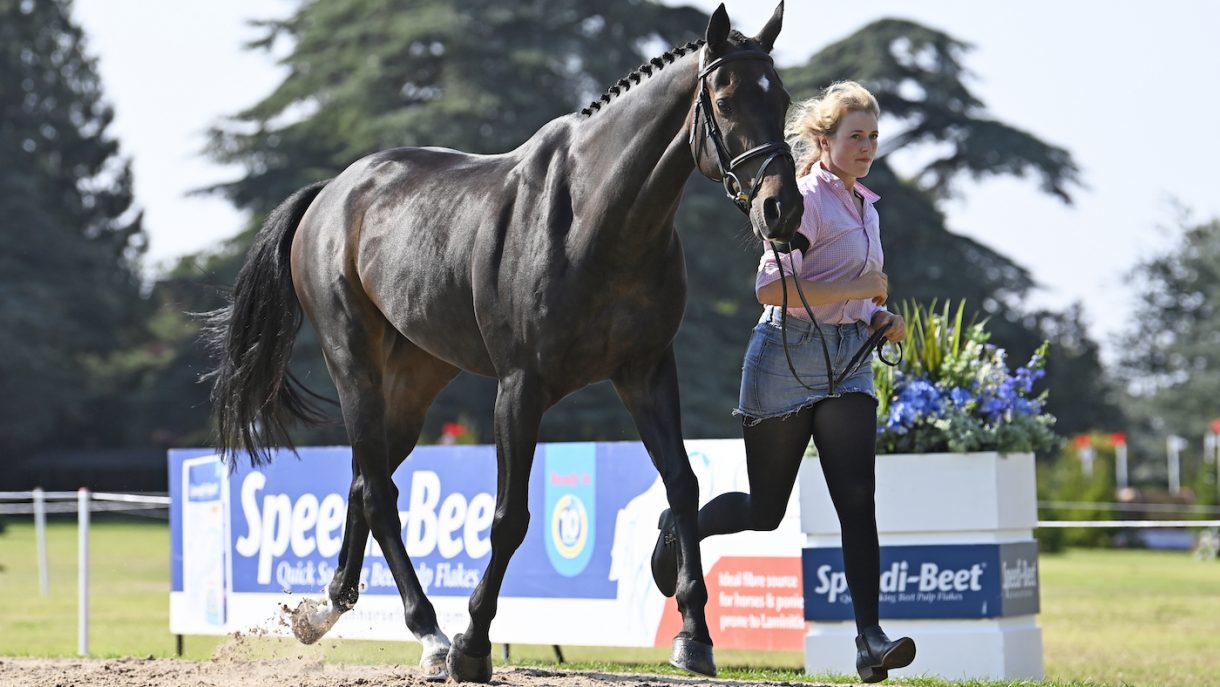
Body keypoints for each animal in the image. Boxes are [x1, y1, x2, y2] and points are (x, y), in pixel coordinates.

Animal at [204, 3, 801, 682]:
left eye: (781, 97)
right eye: (725, 100)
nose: (781, 208)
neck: (597, 219)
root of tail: (331, 194)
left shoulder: (646, 371)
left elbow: (682, 484)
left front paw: (695, 634)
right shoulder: (521, 387)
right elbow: (509, 517)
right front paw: (473, 644)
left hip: (413, 384)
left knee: (363, 479)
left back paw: (325, 610)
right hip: (353, 364)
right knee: (378, 493)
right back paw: (431, 634)